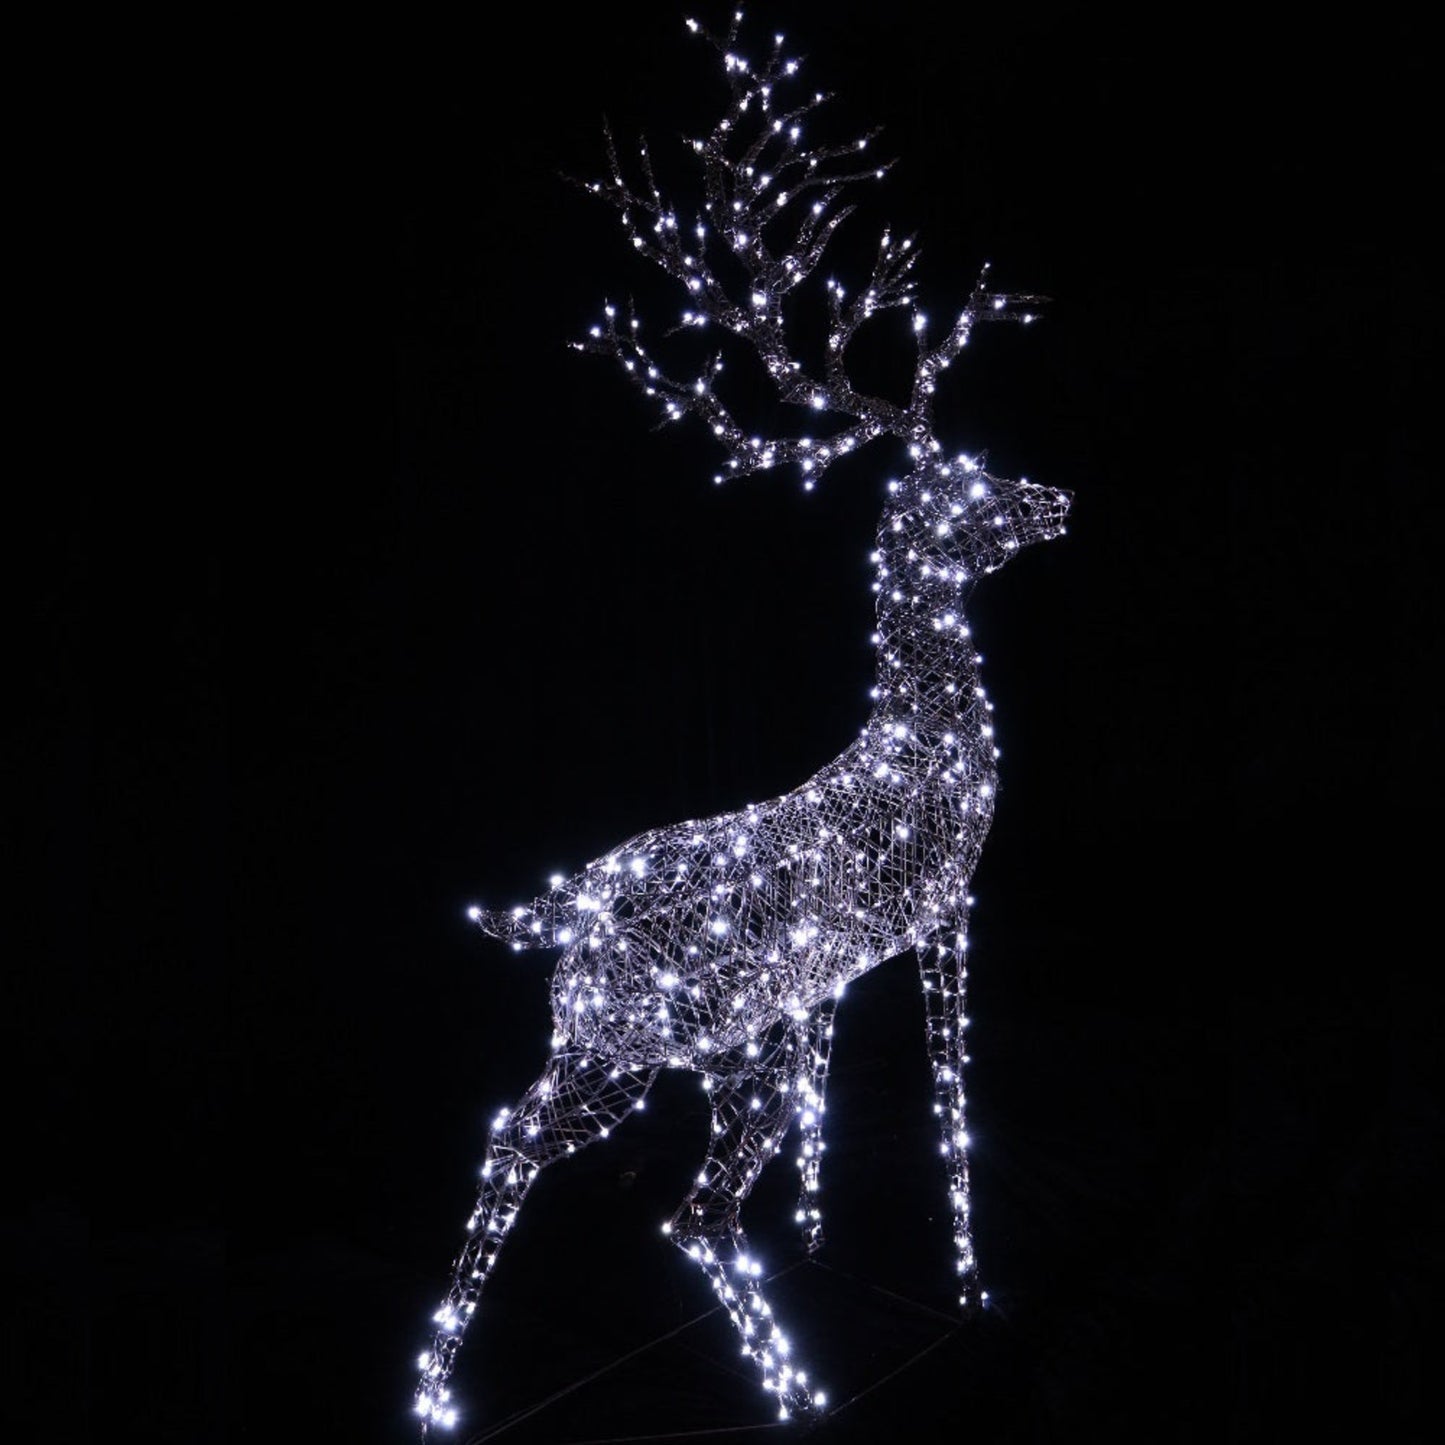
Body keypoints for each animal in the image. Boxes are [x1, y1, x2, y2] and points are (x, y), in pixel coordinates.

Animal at [413, 14, 1069, 1433]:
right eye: (968, 476)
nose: (1056, 497)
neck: (930, 747)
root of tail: (556, 908)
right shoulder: (947, 911)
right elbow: (949, 1097)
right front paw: (970, 1282)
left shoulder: (817, 979)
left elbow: (831, 1103)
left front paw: (821, 1232)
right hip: (667, 1047)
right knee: (670, 1202)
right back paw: (793, 1387)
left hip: (639, 1041)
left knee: (528, 1139)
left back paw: (439, 1387)